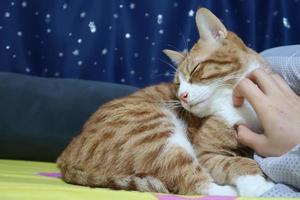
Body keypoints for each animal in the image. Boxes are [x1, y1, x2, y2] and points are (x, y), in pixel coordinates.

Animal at [58, 8, 274, 196]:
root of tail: (66, 156)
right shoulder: (206, 153)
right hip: (158, 130)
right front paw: (259, 186)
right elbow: (238, 163)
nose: (182, 96)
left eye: (195, 70)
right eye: (178, 83)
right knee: (194, 184)